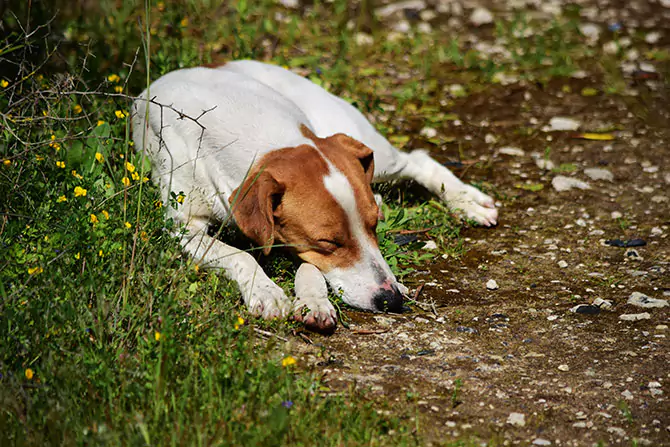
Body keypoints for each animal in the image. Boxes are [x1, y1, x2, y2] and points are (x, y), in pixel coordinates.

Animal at [133, 59, 498, 332]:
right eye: (329, 242)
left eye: (374, 227)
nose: (392, 300)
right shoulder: (182, 228)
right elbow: (239, 255)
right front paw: (266, 291)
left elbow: (310, 269)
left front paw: (313, 300)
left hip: (371, 150)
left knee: (417, 159)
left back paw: (468, 201)